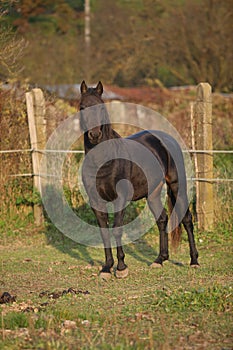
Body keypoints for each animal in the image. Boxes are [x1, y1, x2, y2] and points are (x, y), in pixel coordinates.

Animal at [78, 80, 198, 278]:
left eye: (101, 107)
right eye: (82, 107)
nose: (95, 135)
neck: (104, 160)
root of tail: (167, 139)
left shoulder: (120, 199)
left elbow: (117, 230)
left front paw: (121, 268)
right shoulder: (96, 201)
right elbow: (104, 232)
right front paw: (106, 268)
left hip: (176, 186)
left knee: (187, 219)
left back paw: (194, 261)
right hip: (153, 194)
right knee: (162, 219)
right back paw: (159, 260)